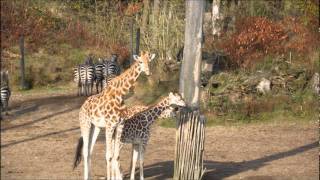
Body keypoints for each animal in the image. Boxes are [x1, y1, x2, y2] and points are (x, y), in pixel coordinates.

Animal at [74, 51, 156, 180]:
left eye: (149, 61)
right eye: (140, 62)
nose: (148, 72)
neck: (120, 94)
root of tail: (83, 106)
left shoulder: (119, 125)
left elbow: (116, 156)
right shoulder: (110, 125)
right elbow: (108, 156)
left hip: (96, 127)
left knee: (90, 150)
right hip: (85, 124)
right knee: (85, 152)